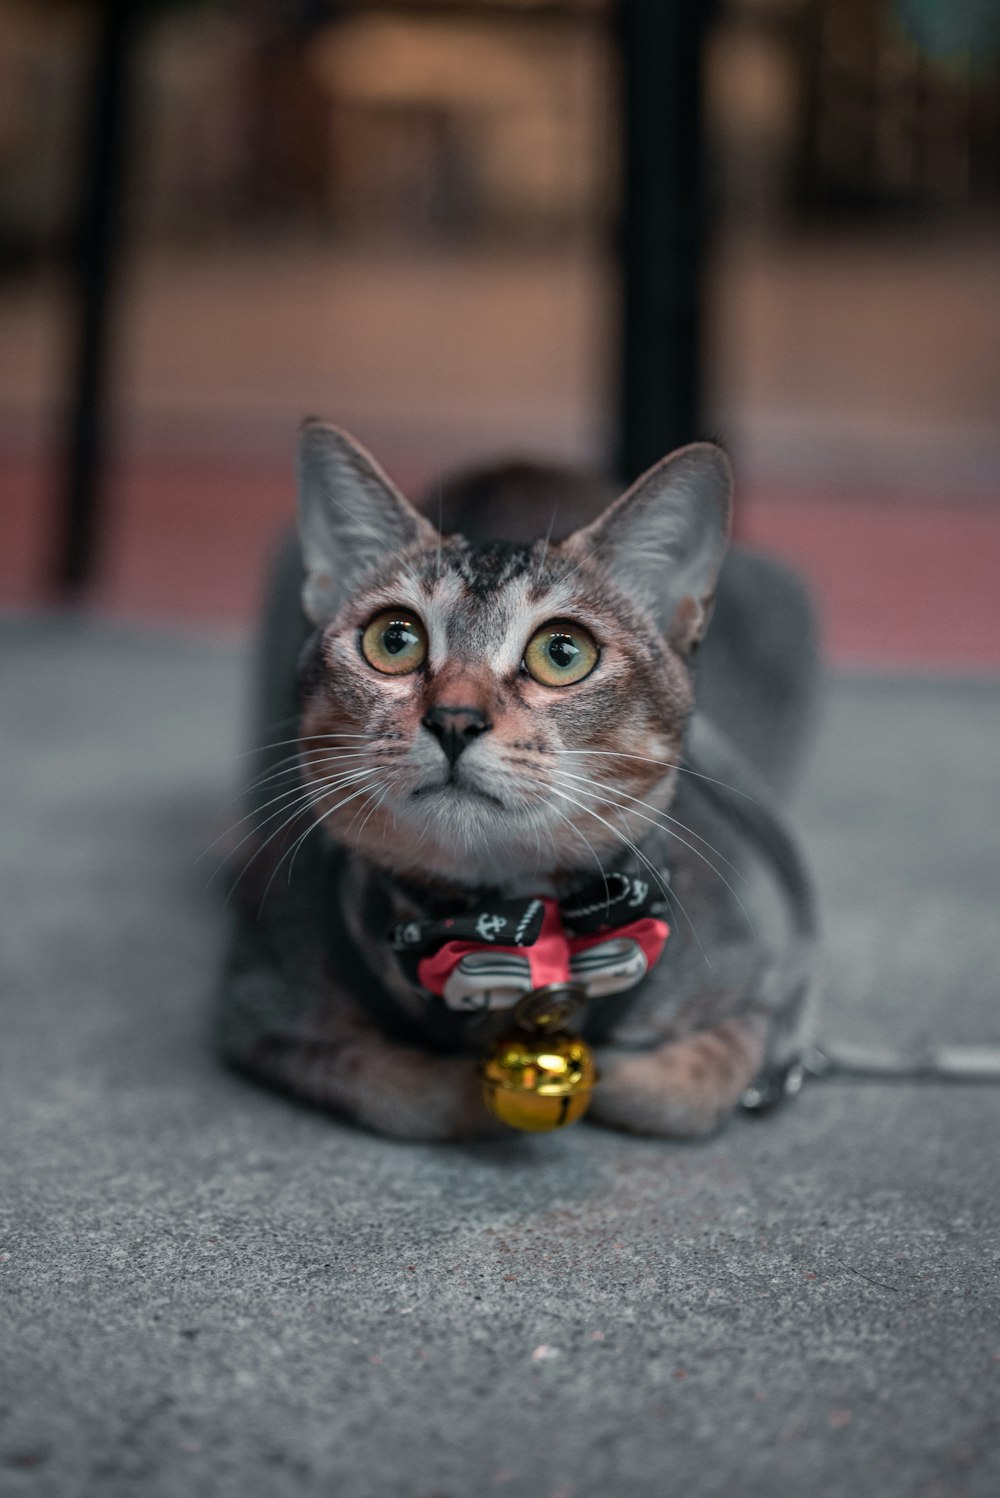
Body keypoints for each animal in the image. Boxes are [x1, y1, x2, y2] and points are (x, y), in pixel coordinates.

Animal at [212, 416, 820, 1138]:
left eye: (563, 651)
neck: (509, 923)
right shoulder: (255, 1000)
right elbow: (410, 1092)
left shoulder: (759, 989)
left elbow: (679, 1090)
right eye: (394, 639)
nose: (454, 719)